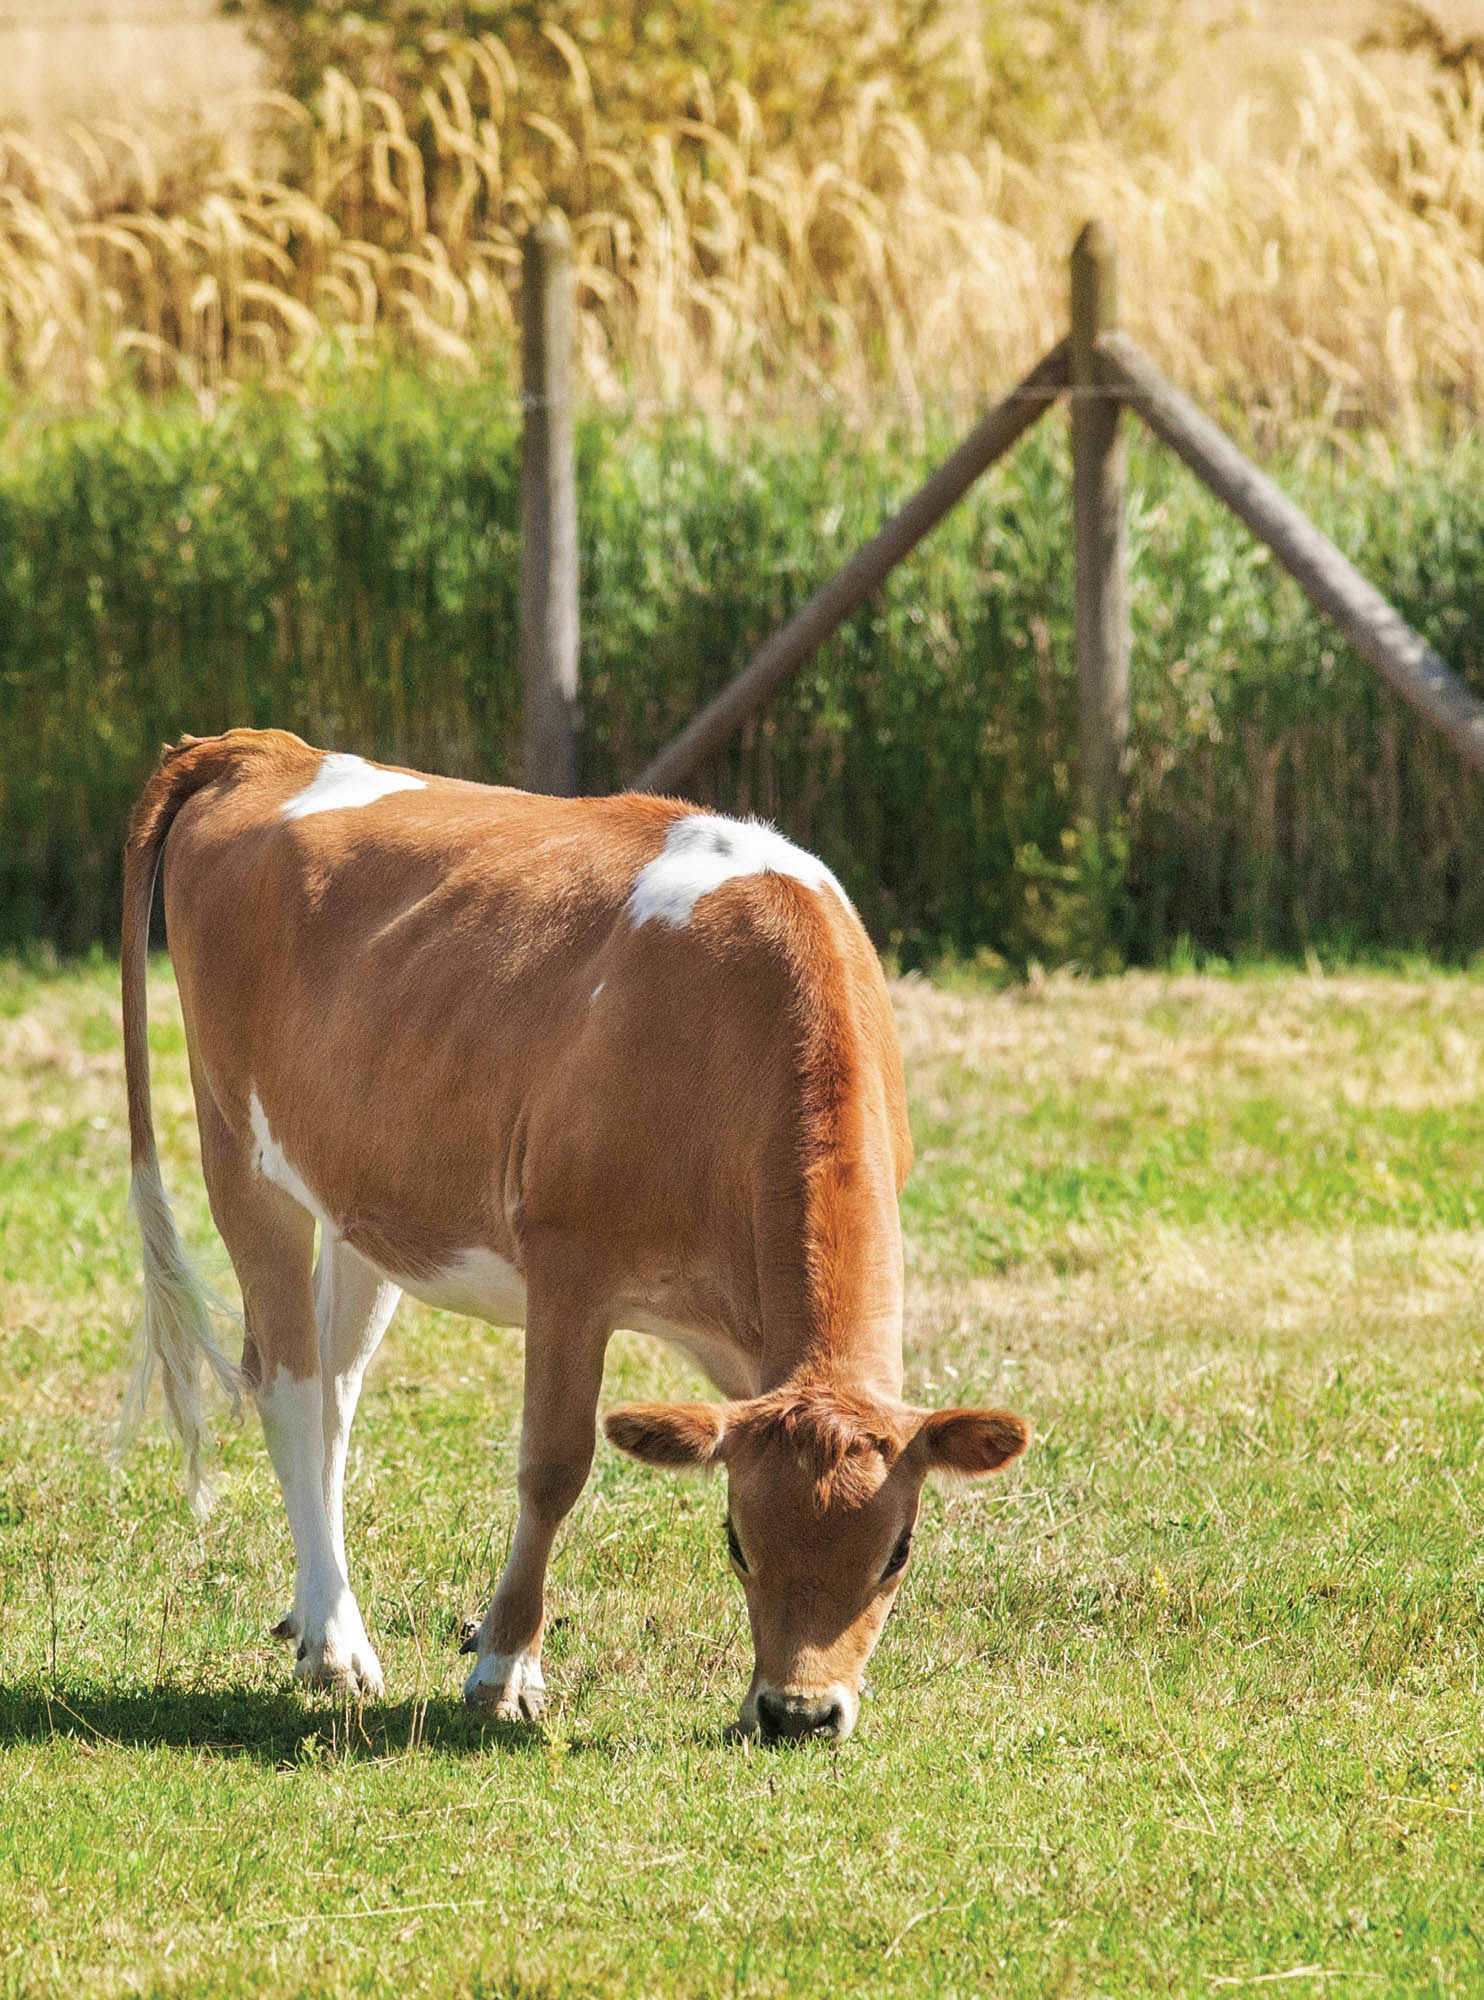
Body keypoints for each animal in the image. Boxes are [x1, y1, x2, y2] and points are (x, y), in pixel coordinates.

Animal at [119, 732, 1032, 1736]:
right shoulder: (568, 1266)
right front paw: (505, 1666)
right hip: (238, 1150)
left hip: (359, 1192)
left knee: (333, 1390)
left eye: (897, 1551)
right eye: (736, 1541)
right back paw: (335, 1646)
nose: (800, 1714)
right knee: (285, 1381)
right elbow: (554, 1466)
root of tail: (260, 748)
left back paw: (316, 1612)